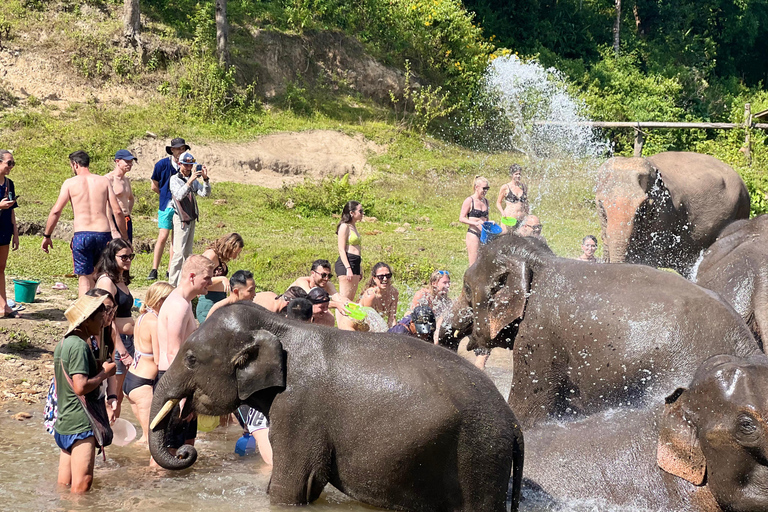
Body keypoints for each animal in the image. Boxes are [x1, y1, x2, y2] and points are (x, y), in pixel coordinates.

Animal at [147, 302, 524, 512]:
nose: (185, 451)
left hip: (479, 455)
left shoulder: (298, 409)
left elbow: (292, 487)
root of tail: (514, 423)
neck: (280, 325)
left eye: (191, 359)